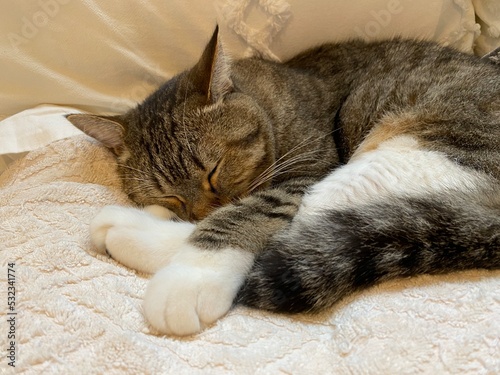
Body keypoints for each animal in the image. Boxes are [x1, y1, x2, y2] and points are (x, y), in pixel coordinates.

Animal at [68, 27, 500, 336]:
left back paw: (132, 232)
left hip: (409, 155)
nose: (199, 210)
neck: (269, 102)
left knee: (305, 225)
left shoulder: (309, 168)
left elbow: (245, 214)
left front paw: (191, 278)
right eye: (170, 194)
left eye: (214, 169)